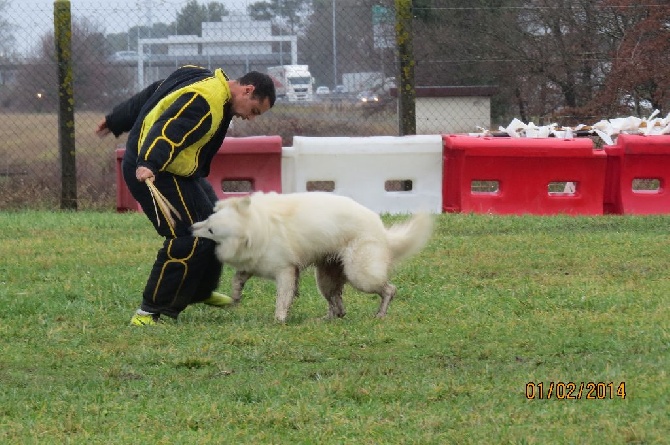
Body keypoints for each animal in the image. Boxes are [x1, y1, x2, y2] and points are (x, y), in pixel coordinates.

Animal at [194, 193, 436, 320]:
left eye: (211, 230)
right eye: (208, 219)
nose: (189, 227)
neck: (255, 225)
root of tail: (382, 231)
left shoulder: (286, 270)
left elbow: (283, 297)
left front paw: (279, 319)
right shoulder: (253, 264)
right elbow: (238, 280)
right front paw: (234, 298)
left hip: (361, 275)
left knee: (389, 289)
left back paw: (380, 313)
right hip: (326, 279)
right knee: (338, 306)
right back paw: (326, 319)